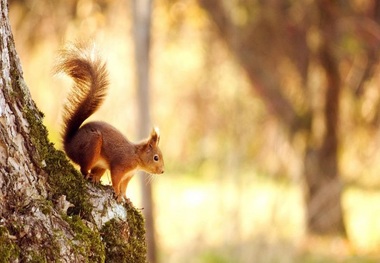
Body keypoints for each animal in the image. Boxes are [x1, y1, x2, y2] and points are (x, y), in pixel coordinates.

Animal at [55, 42, 164, 201]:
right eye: (156, 157)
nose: (162, 171)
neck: (136, 157)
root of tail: (69, 145)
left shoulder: (128, 175)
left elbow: (124, 186)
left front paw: (125, 197)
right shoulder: (120, 166)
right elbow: (116, 180)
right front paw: (117, 194)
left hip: (101, 164)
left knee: (95, 170)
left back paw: (95, 177)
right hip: (92, 145)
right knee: (83, 167)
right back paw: (87, 175)